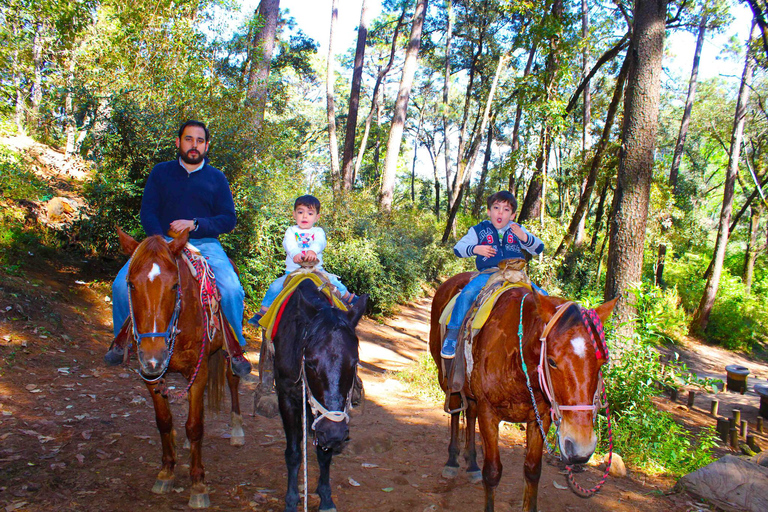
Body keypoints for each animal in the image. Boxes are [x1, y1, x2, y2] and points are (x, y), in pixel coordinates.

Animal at [117, 227, 244, 508]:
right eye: (131, 284)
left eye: (175, 285)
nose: (154, 357)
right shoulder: (152, 377)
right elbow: (164, 421)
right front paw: (166, 472)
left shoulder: (199, 372)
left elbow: (195, 426)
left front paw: (198, 485)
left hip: (227, 353)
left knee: (232, 379)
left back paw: (237, 430)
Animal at [428, 274, 616, 510]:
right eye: (552, 361)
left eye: (602, 362)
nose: (581, 447)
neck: (517, 358)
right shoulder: (489, 413)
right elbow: (492, 472)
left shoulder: (540, 417)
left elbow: (532, 470)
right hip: (448, 380)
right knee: (455, 410)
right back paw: (452, 461)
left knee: (469, 413)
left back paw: (471, 464)